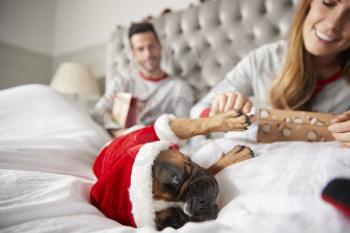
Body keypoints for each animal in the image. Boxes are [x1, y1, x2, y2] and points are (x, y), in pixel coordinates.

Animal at [90, 110, 254, 229]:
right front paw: (233, 158)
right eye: (176, 222)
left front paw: (229, 120)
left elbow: (188, 126)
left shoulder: (155, 134)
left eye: (176, 177)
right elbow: (211, 169)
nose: (195, 204)